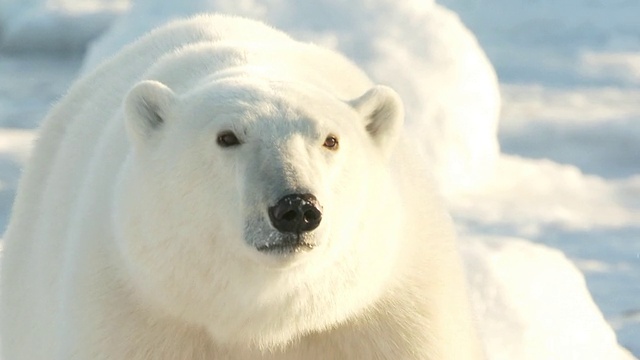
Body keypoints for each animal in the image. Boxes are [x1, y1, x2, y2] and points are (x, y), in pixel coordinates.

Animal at [0, 14, 480, 360]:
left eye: (331, 139)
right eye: (227, 137)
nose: (296, 208)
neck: (263, 320)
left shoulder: (386, 319)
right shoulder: (132, 314)